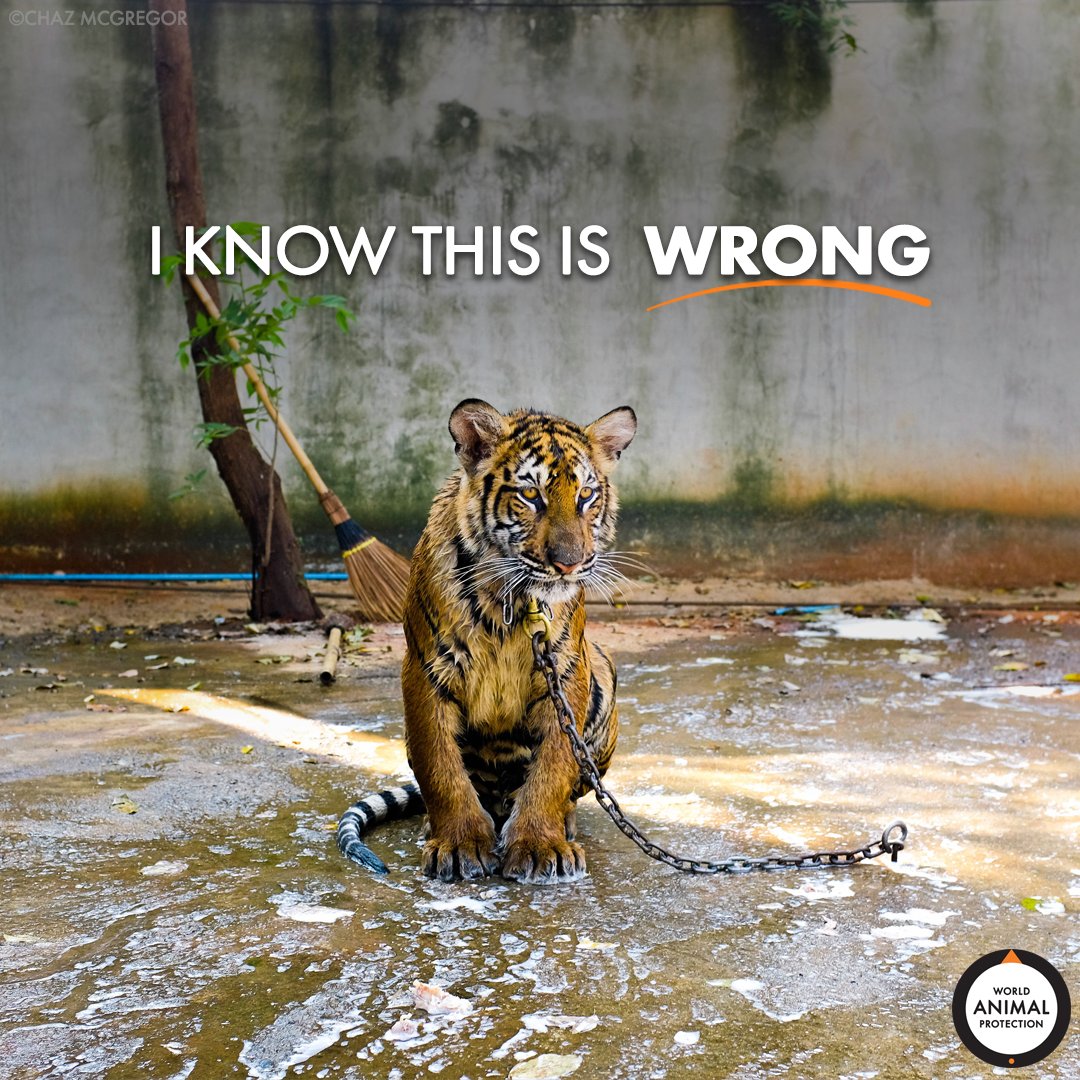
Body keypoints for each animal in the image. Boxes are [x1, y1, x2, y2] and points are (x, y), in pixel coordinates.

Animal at [337, 398, 637, 884]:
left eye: (586, 496)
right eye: (531, 496)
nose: (570, 565)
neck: (508, 601)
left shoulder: (565, 670)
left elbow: (554, 767)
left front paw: (540, 843)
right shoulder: (427, 669)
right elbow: (440, 767)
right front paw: (460, 843)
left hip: (602, 669)